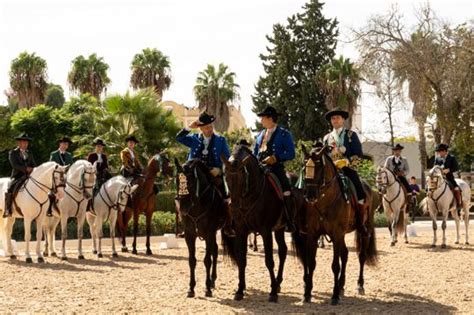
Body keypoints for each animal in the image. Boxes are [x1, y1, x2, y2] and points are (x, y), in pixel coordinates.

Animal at [174, 159, 226, 300]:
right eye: (177, 180)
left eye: (191, 182)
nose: (183, 208)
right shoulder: (189, 234)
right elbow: (192, 261)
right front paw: (191, 288)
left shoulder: (209, 233)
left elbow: (207, 260)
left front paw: (207, 289)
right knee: (215, 250)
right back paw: (213, 280)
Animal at [220, 146, 306, 304]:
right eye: (226, 177)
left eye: (242, 178)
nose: (233, 208)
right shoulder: (241, 231)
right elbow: (242, 260)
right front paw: (240, 290)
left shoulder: (265, 231)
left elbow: (269, 261)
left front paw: (272, 293)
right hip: (279, 229)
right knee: (283, 251)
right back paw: (278, 283)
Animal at [292, 148, 378, 306]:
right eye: (304, 167)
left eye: (319, 168)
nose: (310, 195)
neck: (325, 200)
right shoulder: (313, 235)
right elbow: (311, 263)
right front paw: (307, 294)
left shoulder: (336, 234)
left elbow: (335, 266)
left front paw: (334, 296)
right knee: (345, 254)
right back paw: (341, 285)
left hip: (363, 230)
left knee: (361, 256)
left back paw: (360, 285)